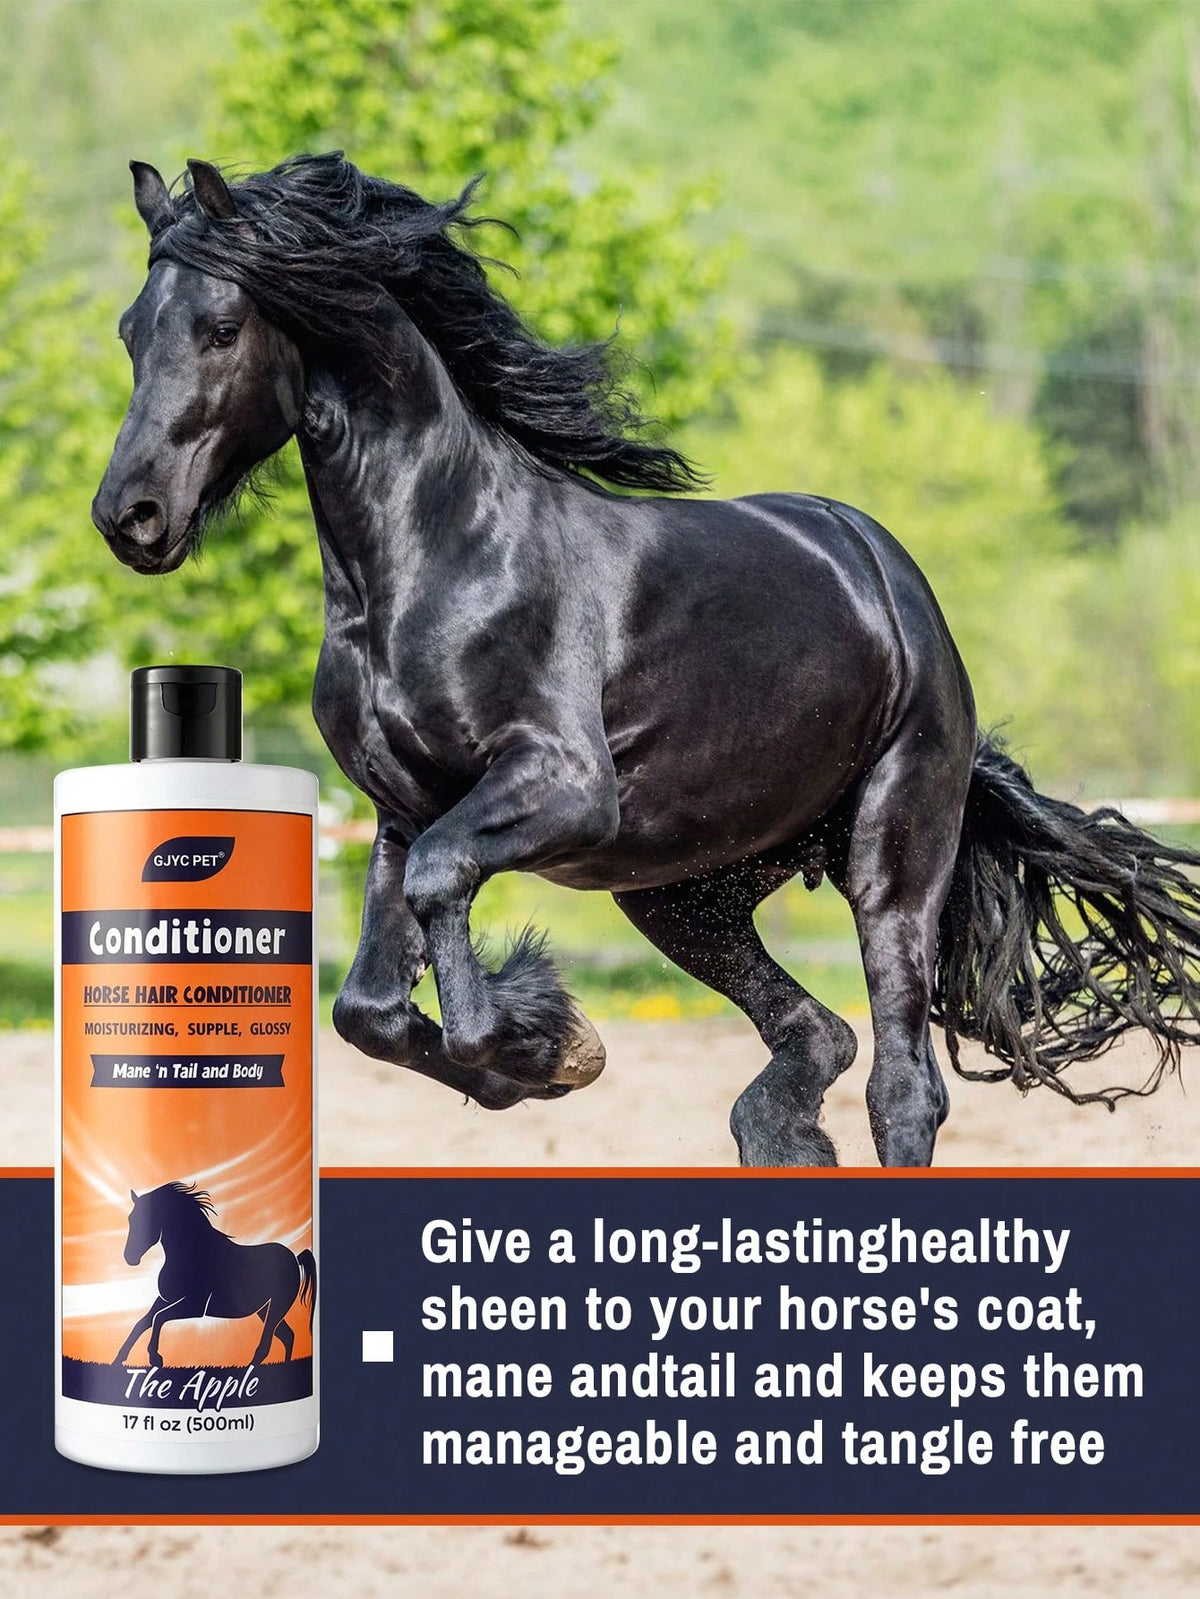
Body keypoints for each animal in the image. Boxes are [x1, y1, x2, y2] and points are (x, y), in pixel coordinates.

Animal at [92, 153, 1200, 1167]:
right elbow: (368, 1006)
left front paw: (551, 1044)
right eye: (132, 331)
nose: (128, 517)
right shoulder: (402, 812)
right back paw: (781, 1134)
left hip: (891, 856)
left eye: (222, 328)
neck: (435, 556)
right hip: (680, 893)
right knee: (814, 1037)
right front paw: (540, 1051)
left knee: (901, 1086)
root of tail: (890, 579)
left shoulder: (563, 787)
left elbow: (449, 913)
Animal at [115, 1182, 317, 1367]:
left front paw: (155, 1358)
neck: (193, 1254)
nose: (129, 1257)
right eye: (131, 1219)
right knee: (287, 1336)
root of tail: (294, 1257)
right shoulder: (165, 1299)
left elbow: (158, 1318)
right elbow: (142, 1323)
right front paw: (119, 1360)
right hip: (264, 1309)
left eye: (148, 1218)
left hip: (277, 1306)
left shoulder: (195, 1306)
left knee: (265, 1346)